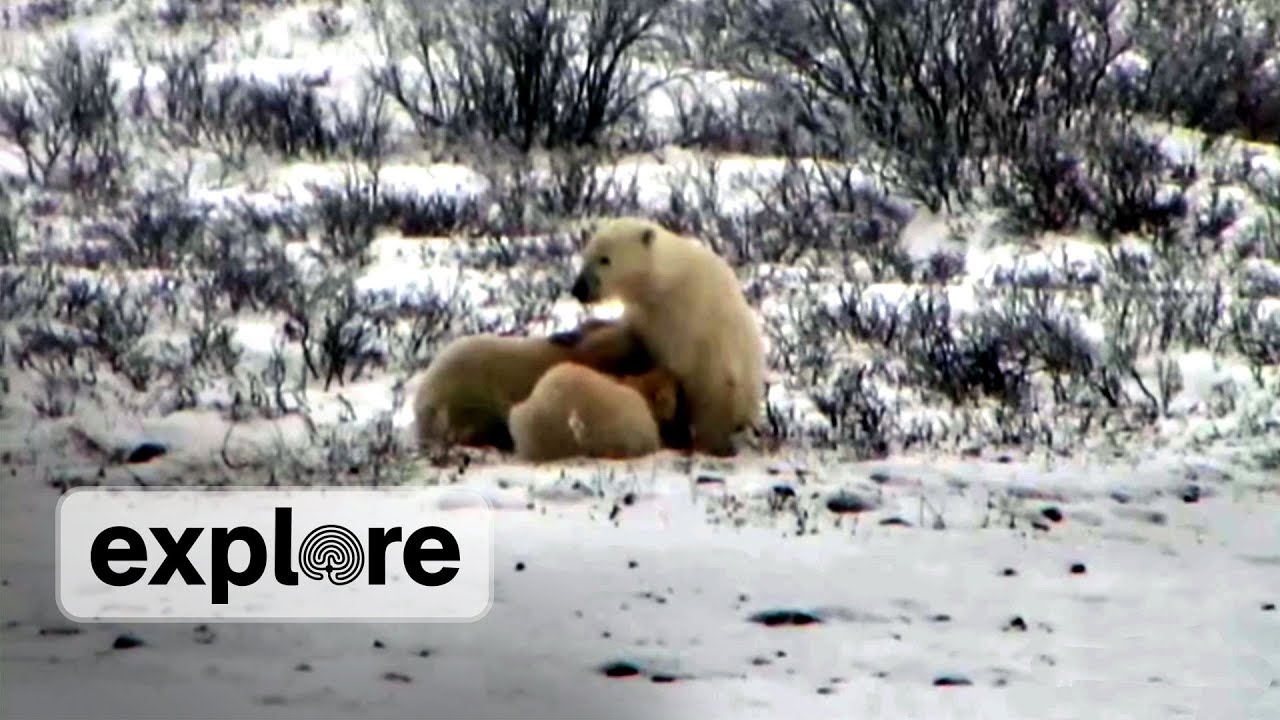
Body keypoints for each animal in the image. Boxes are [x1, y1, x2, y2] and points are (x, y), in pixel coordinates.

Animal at [570, 216, 765, 457]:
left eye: (605, 259)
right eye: (586, 256)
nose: (579, 289)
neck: (665, 283)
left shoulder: (686, 318)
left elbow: (677, 365)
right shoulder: (645, 315)